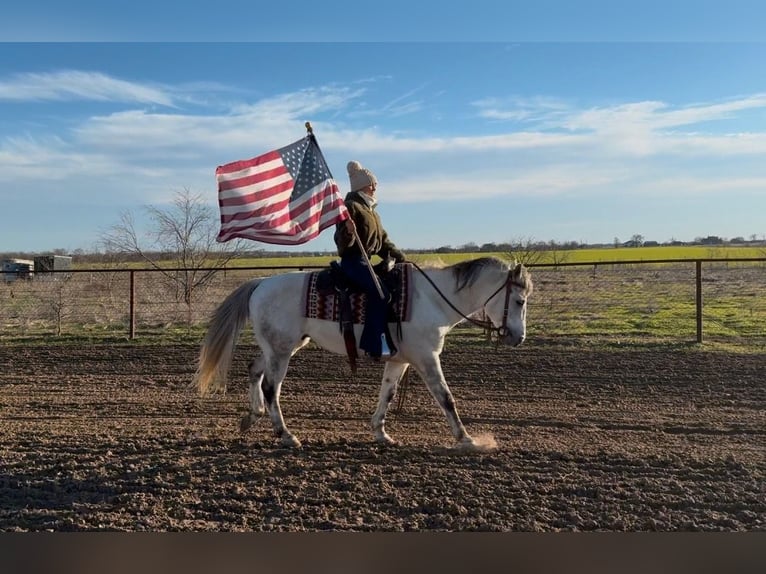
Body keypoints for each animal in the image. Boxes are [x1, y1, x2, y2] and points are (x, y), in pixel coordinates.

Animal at [192, 258, 536, 452]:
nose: (518, 338)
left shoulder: (399, 360)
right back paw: (286, 435)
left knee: (254, 369)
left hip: (280, 346)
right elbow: (445, 397)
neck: (434, 299)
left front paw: (381, 433)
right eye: (519, 301)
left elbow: (388, 394)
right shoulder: (426, 357)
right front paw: (467, 439)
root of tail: (261, 282)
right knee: (270, 387)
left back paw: (252, 417)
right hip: (281, 351)